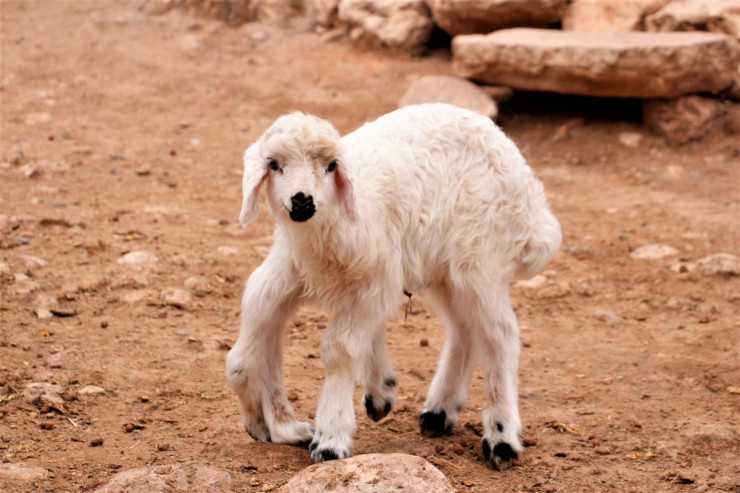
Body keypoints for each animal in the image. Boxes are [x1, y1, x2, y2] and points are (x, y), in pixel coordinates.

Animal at [225, 103, 560, 466]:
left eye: (331, 166)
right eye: (273, 164)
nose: (302, 201)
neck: (328, 229)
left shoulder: (377, 282)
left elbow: (339, 347)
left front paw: (330, 439)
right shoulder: (289, 272)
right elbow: (251, 332)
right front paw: (271, 422)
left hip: (479, 257)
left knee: (500, 335)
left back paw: (501, 437)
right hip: (441, 268)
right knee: (464, 329)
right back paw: (439, 411)